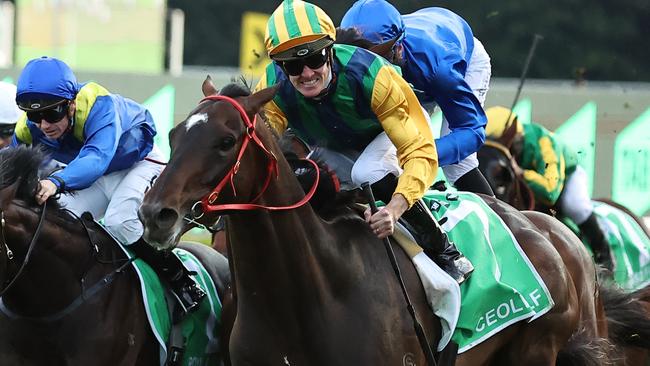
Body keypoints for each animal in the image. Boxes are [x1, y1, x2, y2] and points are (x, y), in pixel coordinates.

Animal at [140, 76, 616, 364]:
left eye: (226, 140)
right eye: (174, 134)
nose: (154, 213)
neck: (309, 295)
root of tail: (556, 237)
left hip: (538, 349)